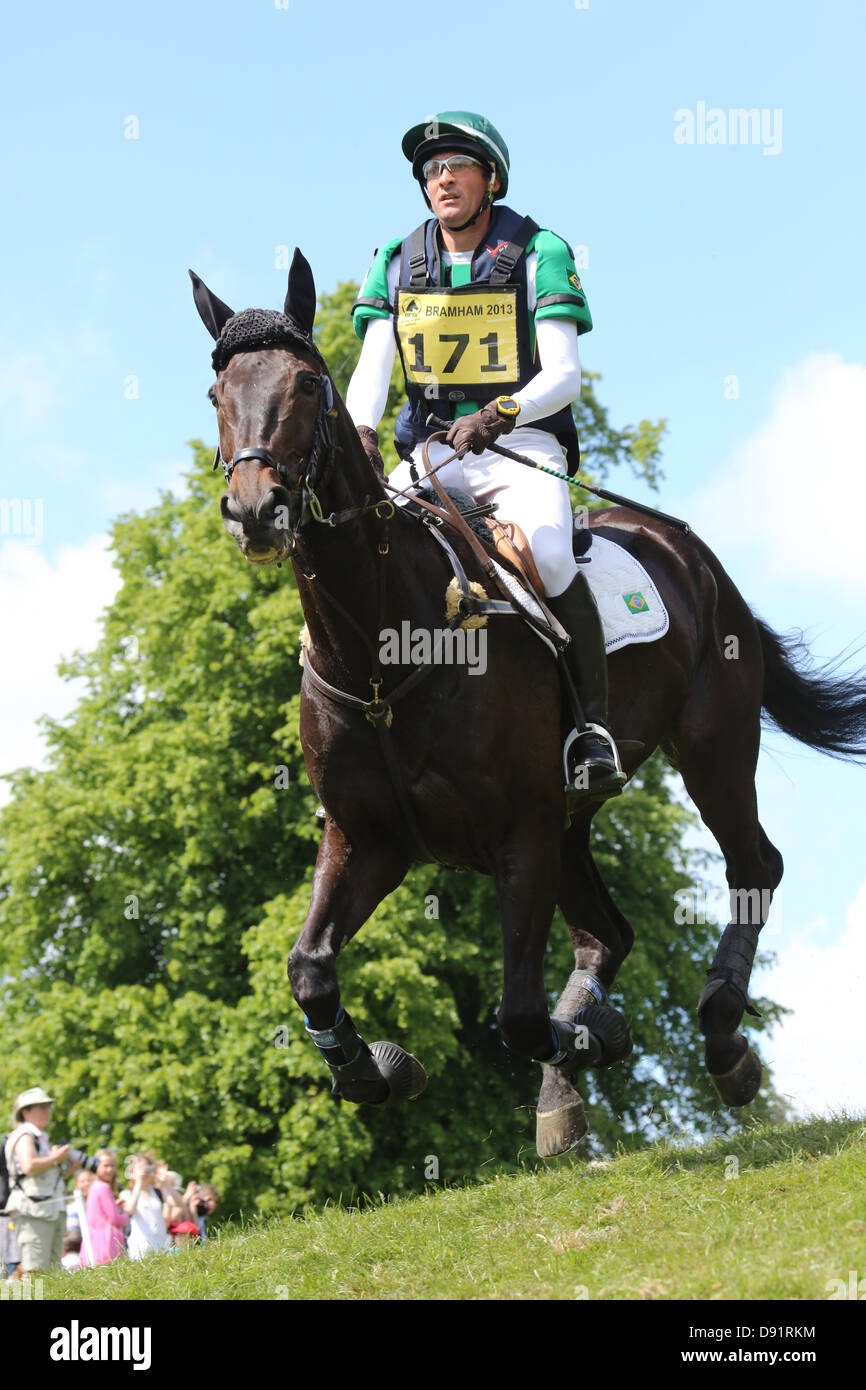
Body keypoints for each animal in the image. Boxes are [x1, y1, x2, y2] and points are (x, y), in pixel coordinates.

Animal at [189, 252, 866, 1162]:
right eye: (215, 392)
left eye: (304, 382)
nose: (255, 510)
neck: (382, 653)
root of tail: (687, 550)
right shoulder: (369, 838)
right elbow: (310, 969)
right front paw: (378, 1069)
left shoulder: (521, 831)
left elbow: (515, 1014)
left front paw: (595, 1037)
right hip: (575, 821)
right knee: (607, 933)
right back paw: (571, 1084)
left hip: (711, 748)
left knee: (752, 866)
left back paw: (722, 1039)